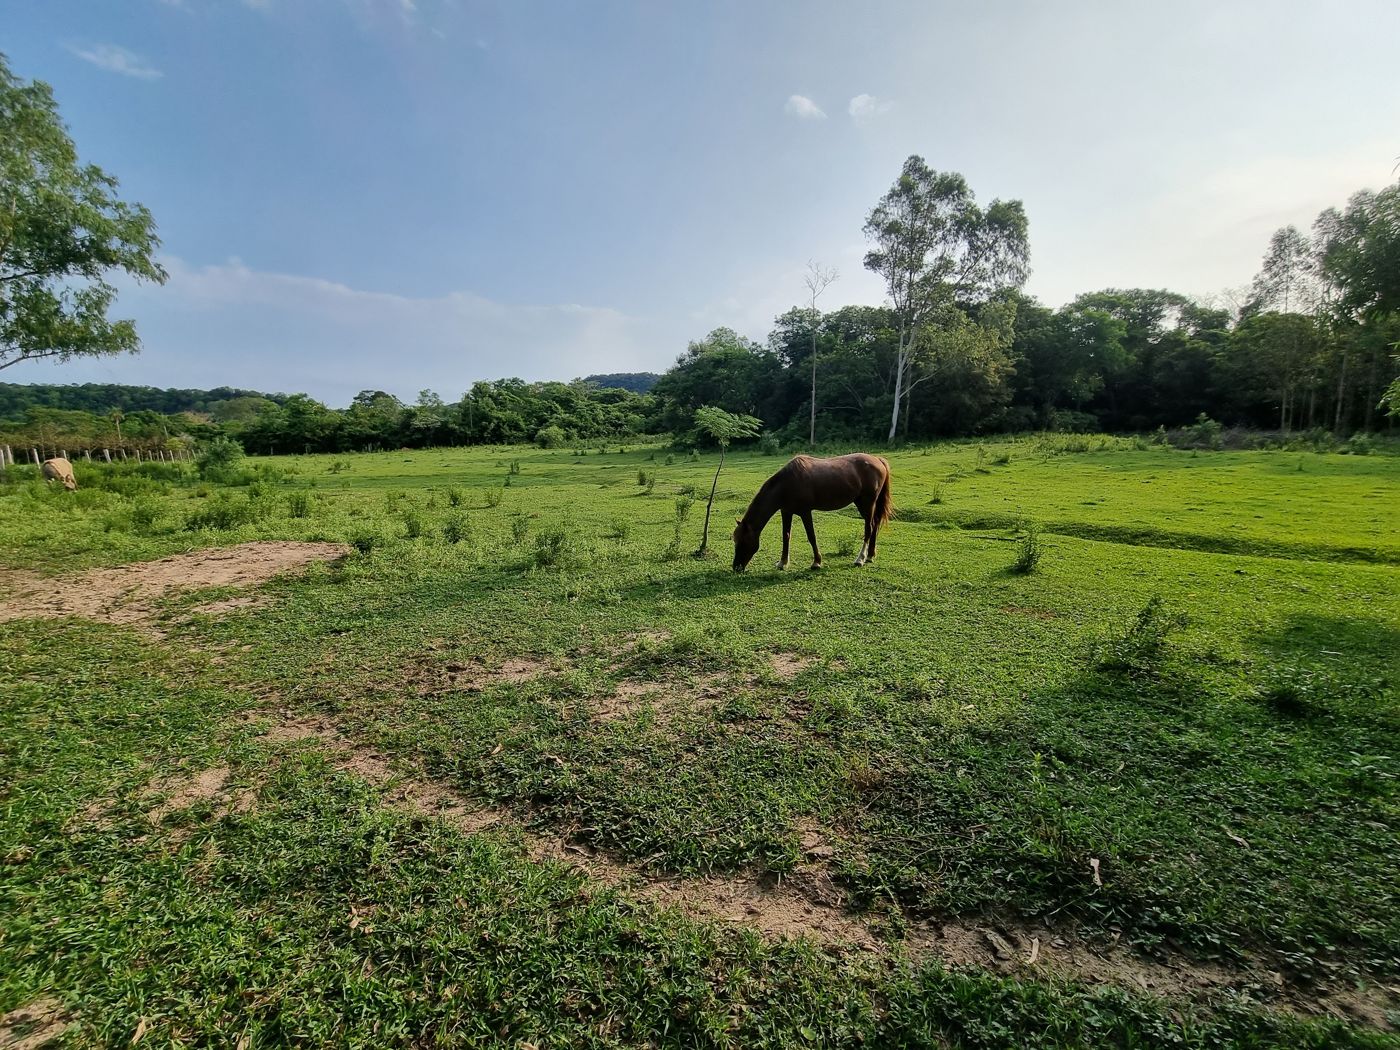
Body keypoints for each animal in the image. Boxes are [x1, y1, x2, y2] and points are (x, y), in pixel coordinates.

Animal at [732, 453, 893, 572]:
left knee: (869, 528)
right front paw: (783, 563)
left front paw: (816, 562)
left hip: (867, 503)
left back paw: (861, 559)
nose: (736, 567)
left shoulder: (805, 512)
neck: (786, 485)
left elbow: (811, 536)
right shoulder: (786, 511)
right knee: (874, 525)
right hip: (863, 503)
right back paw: (870, 555)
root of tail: (878, 459)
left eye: (743, 541)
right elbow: (786, 536)